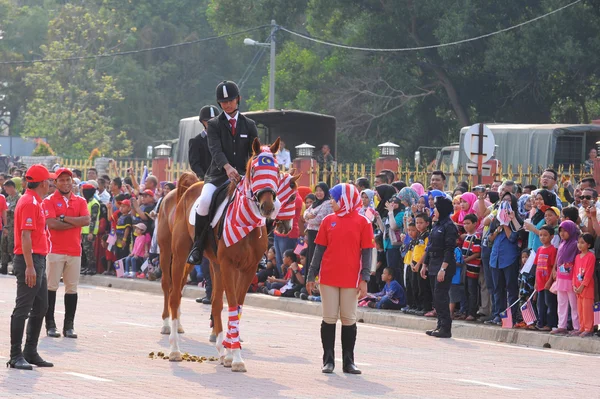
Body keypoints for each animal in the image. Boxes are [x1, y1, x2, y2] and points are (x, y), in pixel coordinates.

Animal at [166, 138, 284, 372]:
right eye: (254, 169)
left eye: (277, 169)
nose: (267, 206)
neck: (246, 224)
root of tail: (189, 188)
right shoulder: (229, 265)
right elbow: (231, 304)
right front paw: (236, 357)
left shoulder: (247, 269)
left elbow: (235, 307)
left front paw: (230, 353)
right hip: (181, 255)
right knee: (175, 296)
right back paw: (175, 349)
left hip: (215, 265)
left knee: (215, 302)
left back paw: (221, 350)